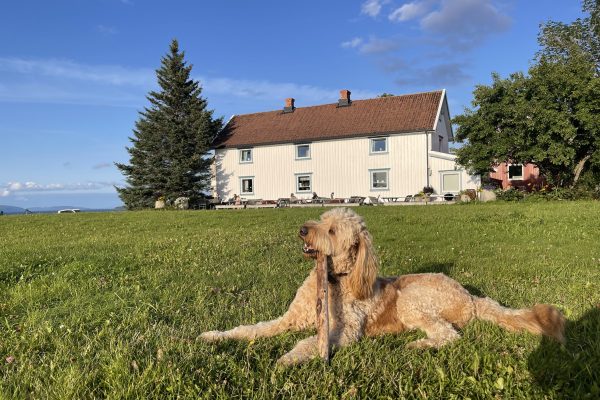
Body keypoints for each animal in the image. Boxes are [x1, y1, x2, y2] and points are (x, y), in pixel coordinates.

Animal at [199, 206, 564, 366]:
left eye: (332, 231)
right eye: (321, 219)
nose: (303, 229)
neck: (334, 280)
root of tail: (469, 295)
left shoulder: (344, 333)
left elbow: (307, 343)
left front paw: (287, 359)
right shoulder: (287, 320)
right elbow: (251, 329)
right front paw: (216, 336)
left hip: (411, 301)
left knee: (448, 335)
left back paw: (418, 345)